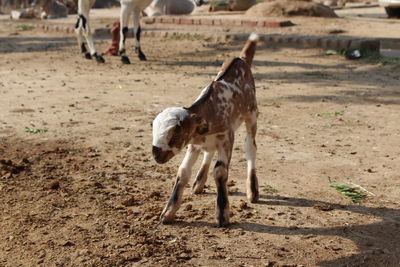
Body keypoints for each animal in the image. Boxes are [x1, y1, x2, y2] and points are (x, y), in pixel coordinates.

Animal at [151, 33, 260, 226]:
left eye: (175, 135)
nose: (156, 154)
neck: (210, 110)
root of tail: (241, 59)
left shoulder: (227, 138)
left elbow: (220, 171)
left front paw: (222, 214)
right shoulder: (193, 143)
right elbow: (182, 171)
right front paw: (168, 213)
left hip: (252, 115)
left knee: (250, 147)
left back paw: (252, 191)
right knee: (209, 151)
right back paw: (199, 183)